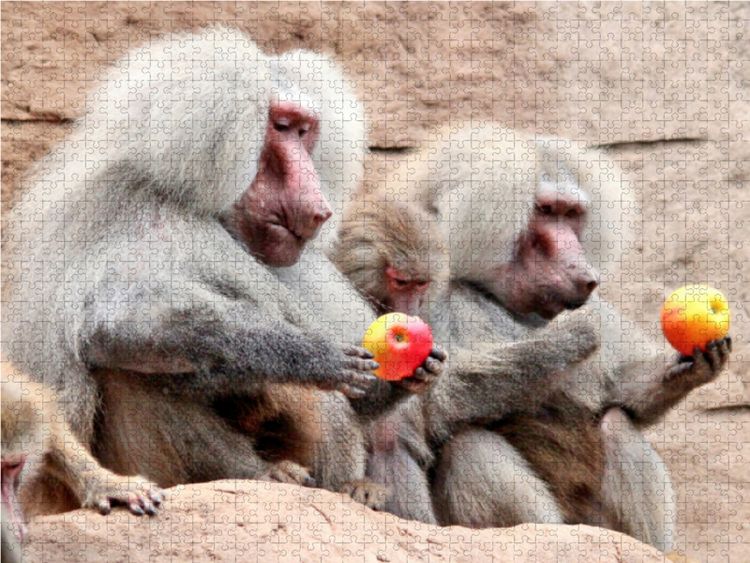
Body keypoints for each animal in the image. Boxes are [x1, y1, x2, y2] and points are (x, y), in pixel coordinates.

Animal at [0, 27, 442, 509]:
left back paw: (343, 488)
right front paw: (311, 355)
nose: (320, 208)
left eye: (305, 130)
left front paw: (413, 373)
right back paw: (261, 473)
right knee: (129, 367)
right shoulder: (149, 218)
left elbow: (357, 387)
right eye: (280, 127)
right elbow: (116, 320)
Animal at [333, 123, 731, 551]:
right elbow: (434, 400)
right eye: (546, 211)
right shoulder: (432, 302)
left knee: (617, 425)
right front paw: (570, 339)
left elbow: (619, 395)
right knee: (469, 447)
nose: (585, 274)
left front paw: (690, 365)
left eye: (571, 214)